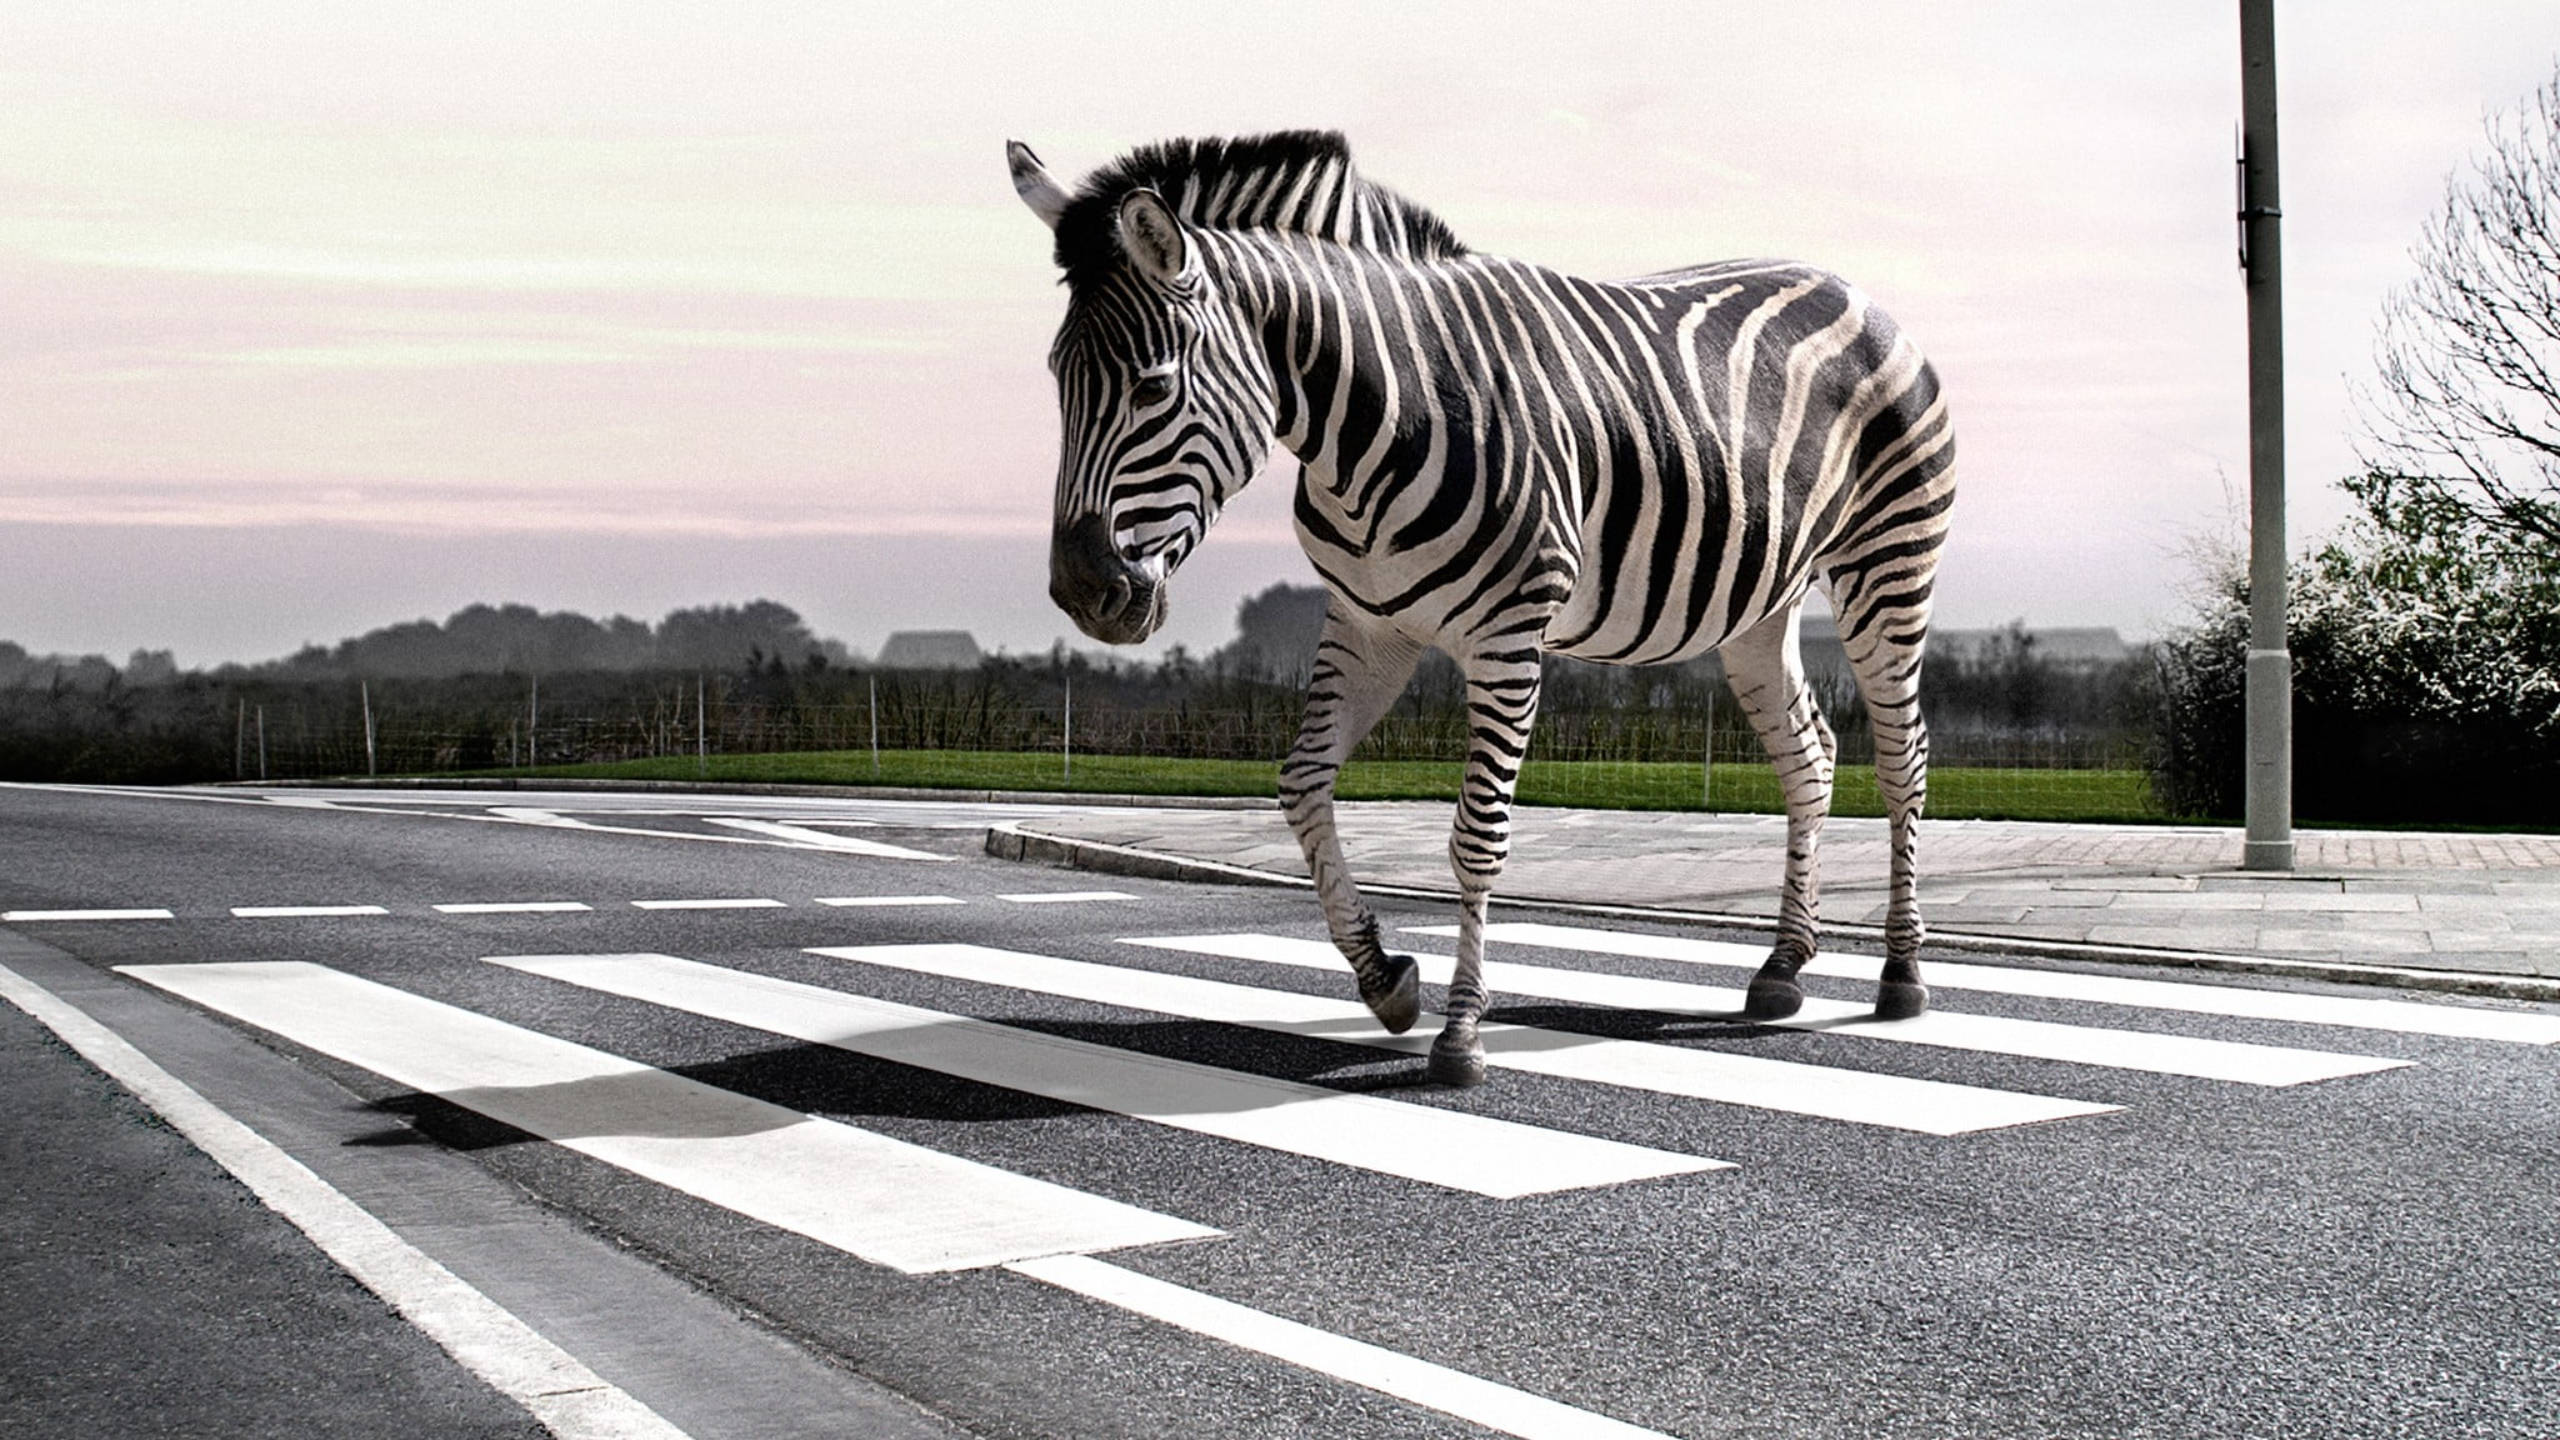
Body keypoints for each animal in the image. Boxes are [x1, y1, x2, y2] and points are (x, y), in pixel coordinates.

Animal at [1009, 131, 1954, 1087]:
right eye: (1056, 378)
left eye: (1152, 387)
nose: (1082, 591)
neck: (1376, 421)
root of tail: (1851, 289)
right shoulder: (1368, 626)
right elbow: (1302, 788)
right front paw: (1386, 979)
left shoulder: (1509, 634)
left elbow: (1478, 836)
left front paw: (1461, 1032)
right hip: (1760, 608)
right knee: (1811, 756)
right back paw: (1783, 965)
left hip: (1888, 566)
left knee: (1903, 759)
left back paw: (1900, 973)